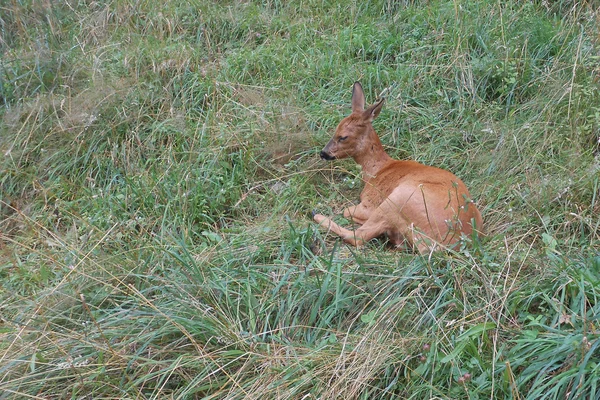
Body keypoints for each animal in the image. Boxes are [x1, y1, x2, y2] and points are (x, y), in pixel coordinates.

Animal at [314, 82, 482, 253]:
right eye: (336, 129)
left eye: (343, 136)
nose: (323, 153)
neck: (376, 171)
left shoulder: (370, 203)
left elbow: (347, 211)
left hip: (397, 200)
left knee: (359, 236)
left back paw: (317, 216)